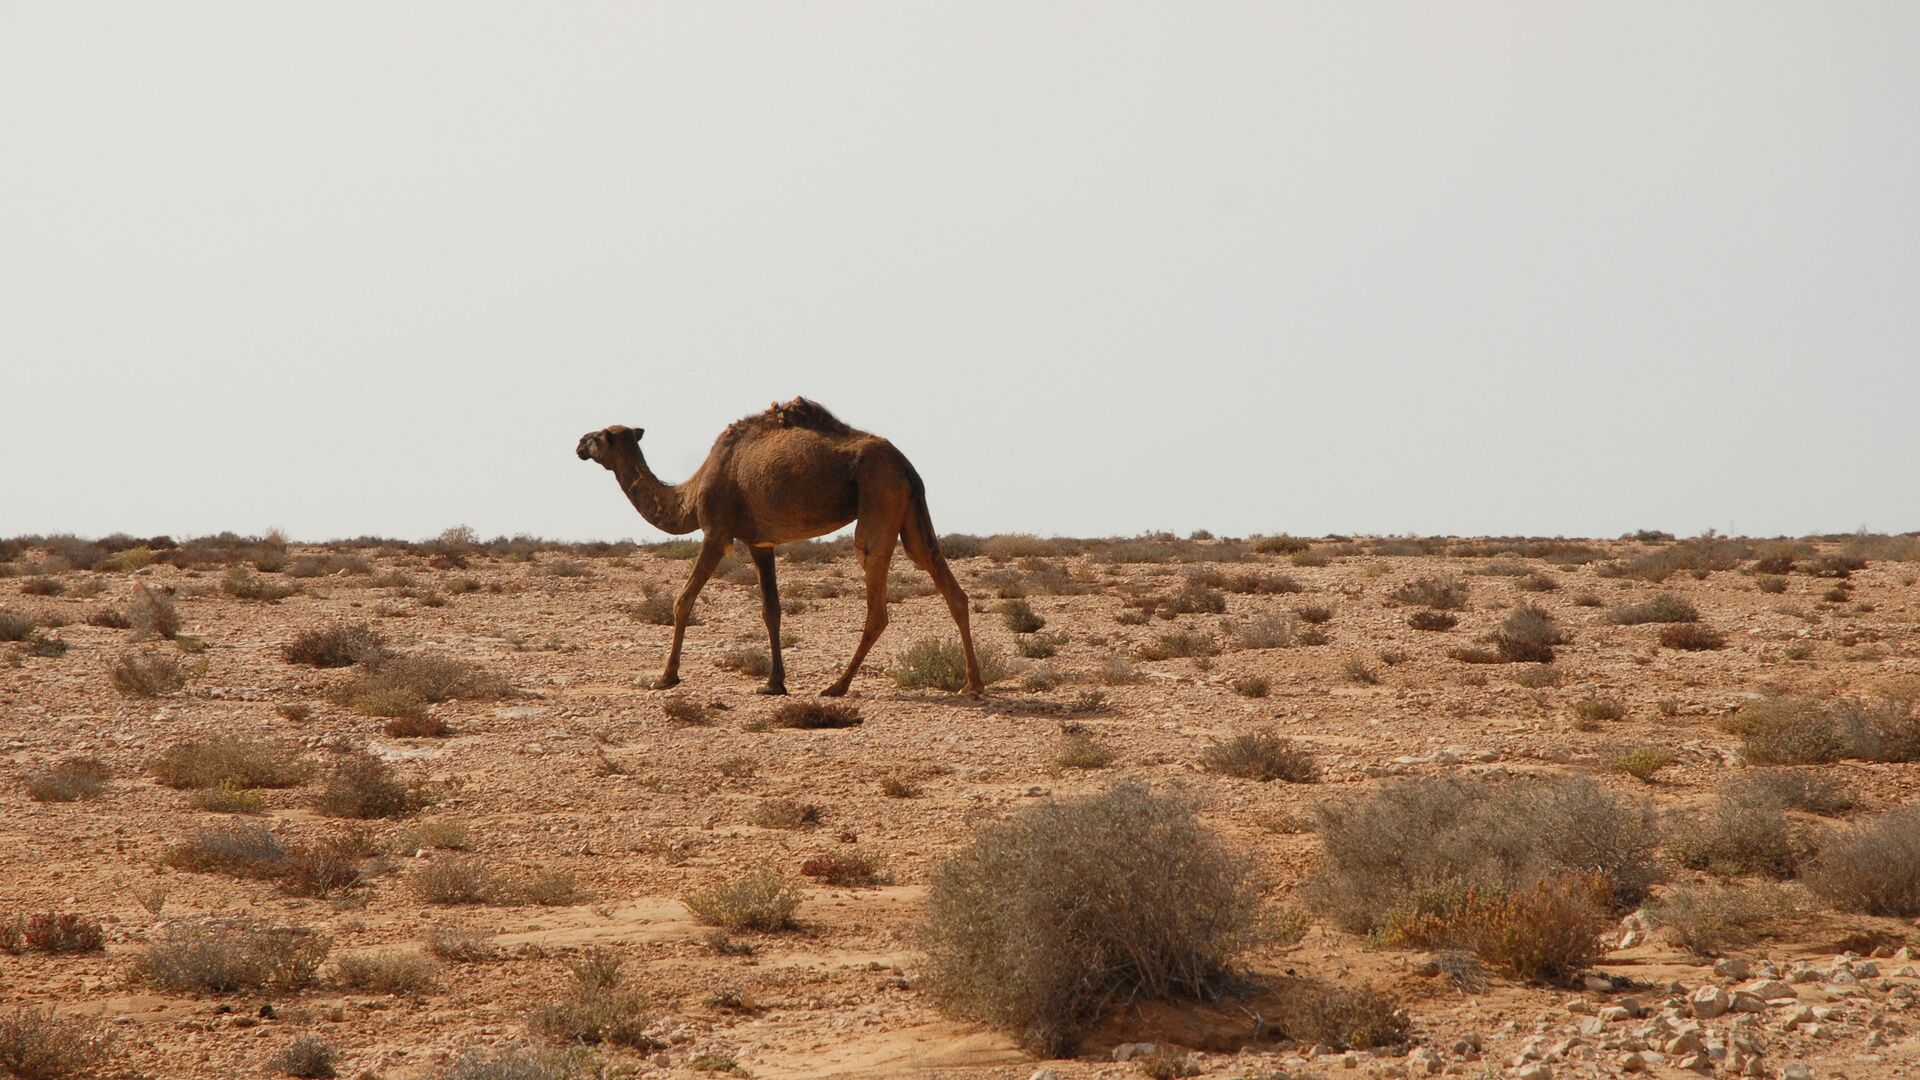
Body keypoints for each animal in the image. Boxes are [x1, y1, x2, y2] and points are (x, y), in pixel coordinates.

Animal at [576, 399, 983, 691]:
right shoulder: (761, 542)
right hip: (911, 511)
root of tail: (906, 465)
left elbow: (683, 599)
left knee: (876, 597)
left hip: (878, 493)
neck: (689, 495)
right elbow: (771, 610)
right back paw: (972, 684)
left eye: (599, 436)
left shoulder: (717, 532)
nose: (578, 443)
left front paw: (666, 678)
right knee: (944, 579)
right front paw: (774, 683)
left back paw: (837, 686)